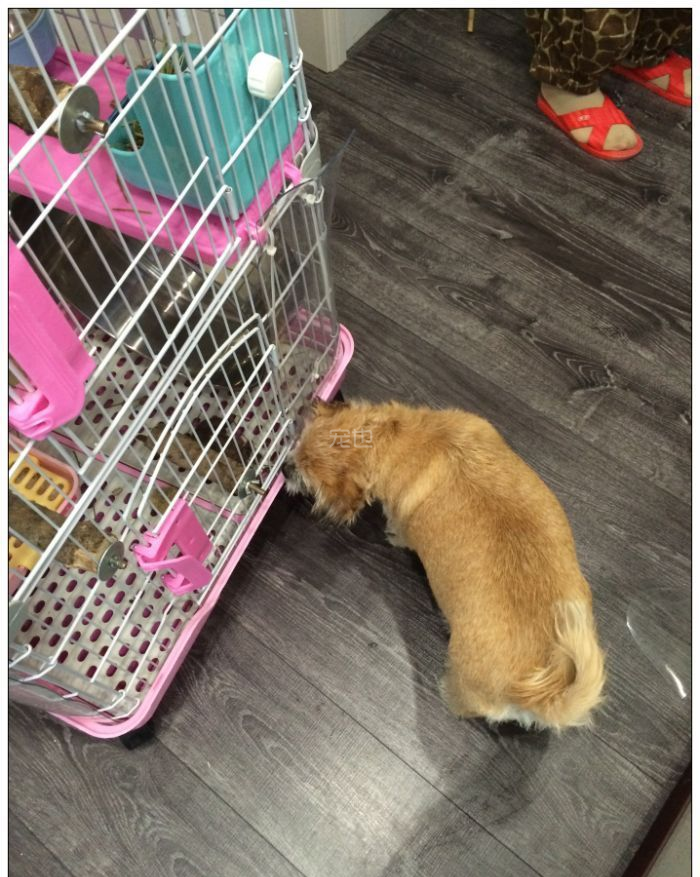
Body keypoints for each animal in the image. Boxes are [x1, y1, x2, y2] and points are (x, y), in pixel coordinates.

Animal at [285, 399, 606, 731]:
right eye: (297, 445)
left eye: (304, 477)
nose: (283, 468)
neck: (391, 438)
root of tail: (542, 693)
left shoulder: (401, 522)